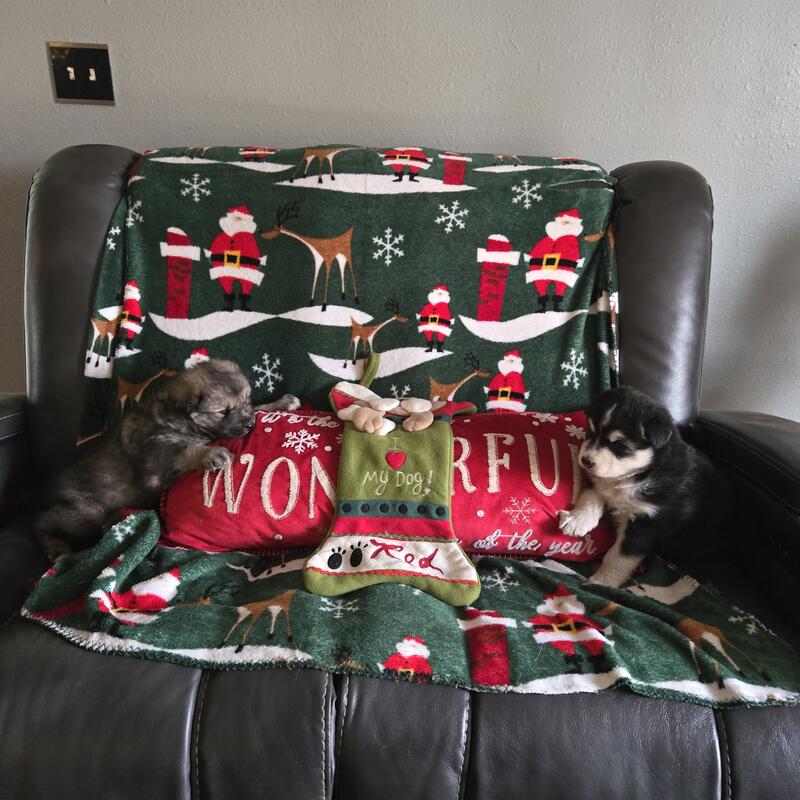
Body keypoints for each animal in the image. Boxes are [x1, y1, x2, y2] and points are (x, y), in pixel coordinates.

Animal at [35, 359, 299, 559]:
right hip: (87, 514)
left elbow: (258, 408)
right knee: (42, 523)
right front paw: (210, 453)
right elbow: (183, 449)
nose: (249, 426)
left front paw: (279, 402)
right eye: (223, 411)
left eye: (246, 399)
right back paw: (55, 546)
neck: (178, 418)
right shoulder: (156, 457)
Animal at [557, 386, 728, 587]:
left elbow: (618, 557)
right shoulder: (600, 481)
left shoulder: (647, 522)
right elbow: (592, 495)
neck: (637, 474)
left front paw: (602, 581)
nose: (585, 461)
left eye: (619, 445)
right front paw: (577, 520)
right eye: (590, 432)